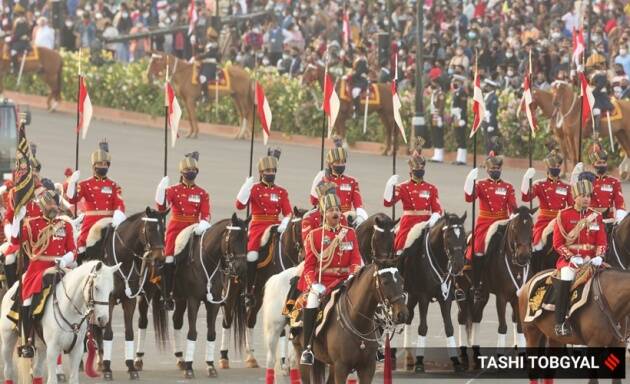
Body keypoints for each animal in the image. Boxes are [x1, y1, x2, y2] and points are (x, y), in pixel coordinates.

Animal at [87, 208, 170, 380]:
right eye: (150, 229)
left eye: (164, 229)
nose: (159, 259)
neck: (122, 258)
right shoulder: (109, 300)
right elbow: (108, 333)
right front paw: (107, 368)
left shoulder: (129, 300)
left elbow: (129, 332)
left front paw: (131, 366)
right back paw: (98, 361)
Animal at [400, 213, 470, 372]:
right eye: (448, 236)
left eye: (464, 236)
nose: (458, 264)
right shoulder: (423, 297)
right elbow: (423, 328)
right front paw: (420, 362)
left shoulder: (446, 298)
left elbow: (449, 328)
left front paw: (455, 361)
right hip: (412, 294)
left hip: (413, 295)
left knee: (408, 317)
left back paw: (409, 357)